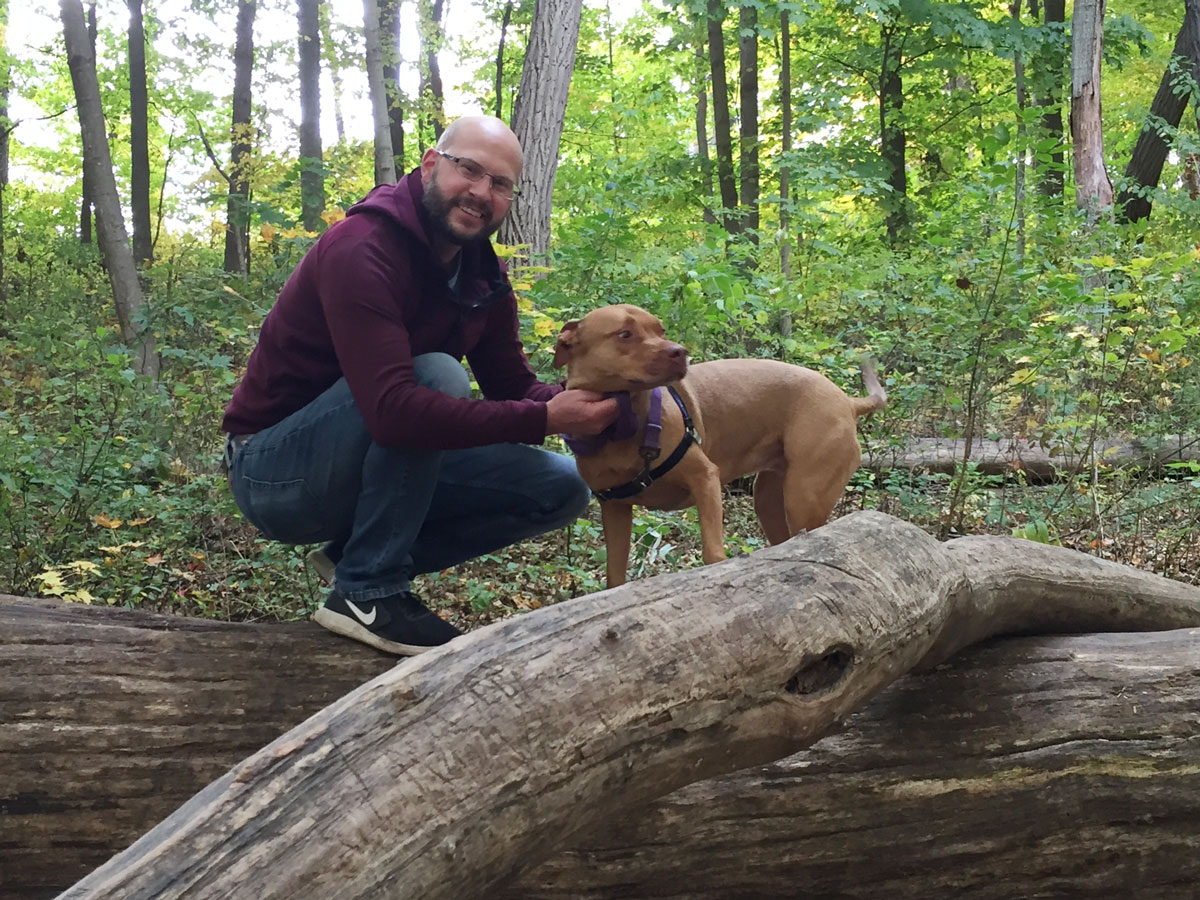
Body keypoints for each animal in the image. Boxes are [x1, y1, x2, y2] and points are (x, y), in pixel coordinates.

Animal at [549, 303, 883, 588]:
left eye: (661, 330)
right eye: (625, 334)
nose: (680, 352)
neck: (621, 427)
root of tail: (847, 401)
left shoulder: (705, 478)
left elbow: (713, 553)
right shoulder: (615, 508)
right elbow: (615, 576)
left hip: (805, 495)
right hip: (769, 498)